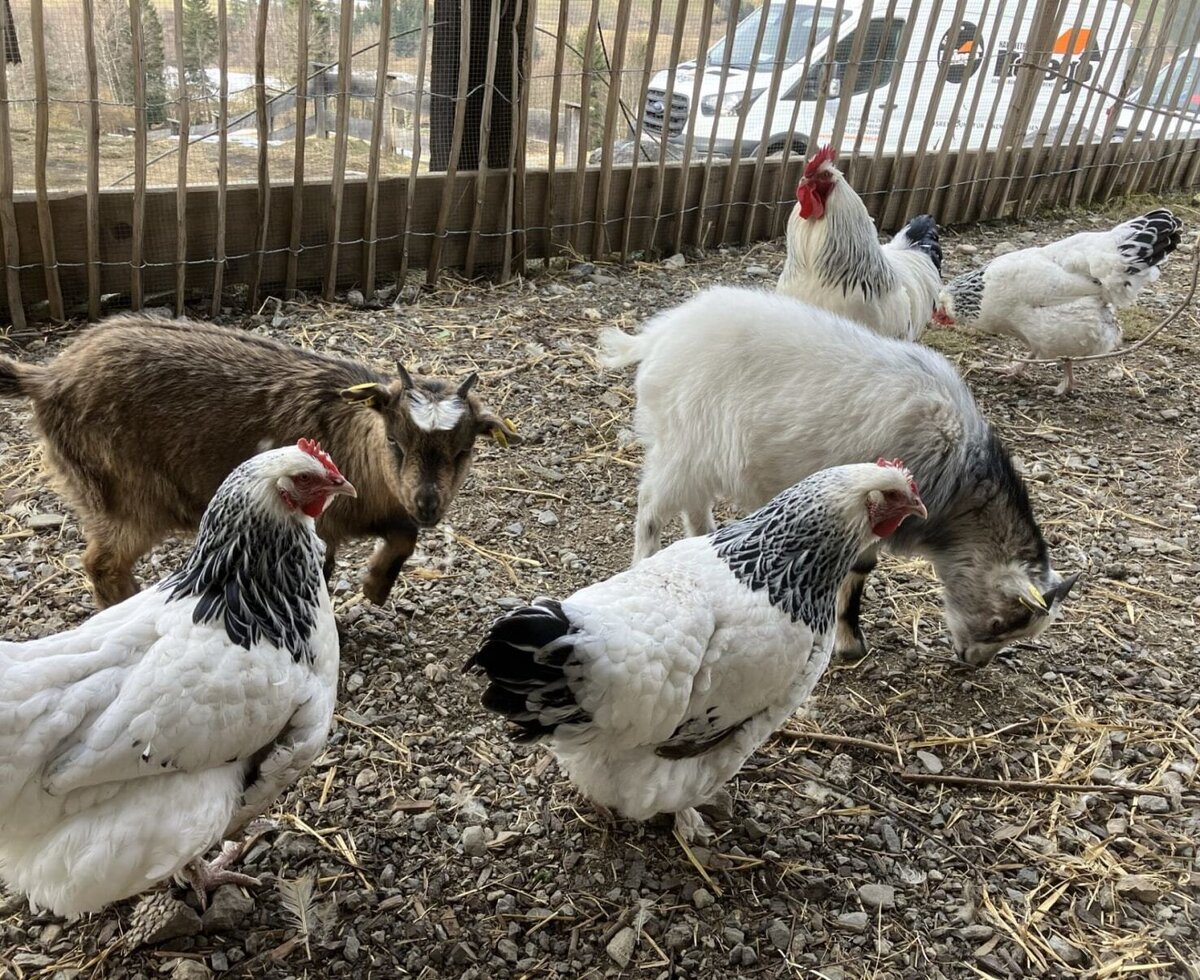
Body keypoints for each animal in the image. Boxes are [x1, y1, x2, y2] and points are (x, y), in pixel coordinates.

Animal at [0, 314, 520, 608]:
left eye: (464, 450)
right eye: (394, 440)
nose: (429, 504)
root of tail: (47, 377)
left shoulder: (382, 510)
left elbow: (405, 538)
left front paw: (376, 588)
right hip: (123, 493)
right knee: (102, 562)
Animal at [600, 286, 1078, 667]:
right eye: (1000, 622)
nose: (972, 661)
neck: (958, 477)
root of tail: (662, 333)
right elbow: (858, 571)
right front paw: (849, 642)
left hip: (700, 455)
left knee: (694, 504)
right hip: (682, 443)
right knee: (651, 507)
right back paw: (644, 560)